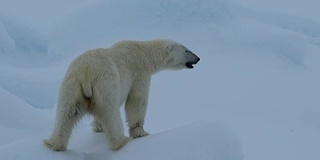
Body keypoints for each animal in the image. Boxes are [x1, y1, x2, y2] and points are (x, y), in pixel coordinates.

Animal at [43, 39, 200, 151]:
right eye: (186, 50)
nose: (198, 58)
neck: (143, 53)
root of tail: (86, 73)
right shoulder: (139, 73)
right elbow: (136, 102)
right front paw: (141, 133)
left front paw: (98, 127)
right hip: (105, 84)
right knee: (110, 112)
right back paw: (121, 141)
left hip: (71, 86)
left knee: (66, 113)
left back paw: (54, 144)